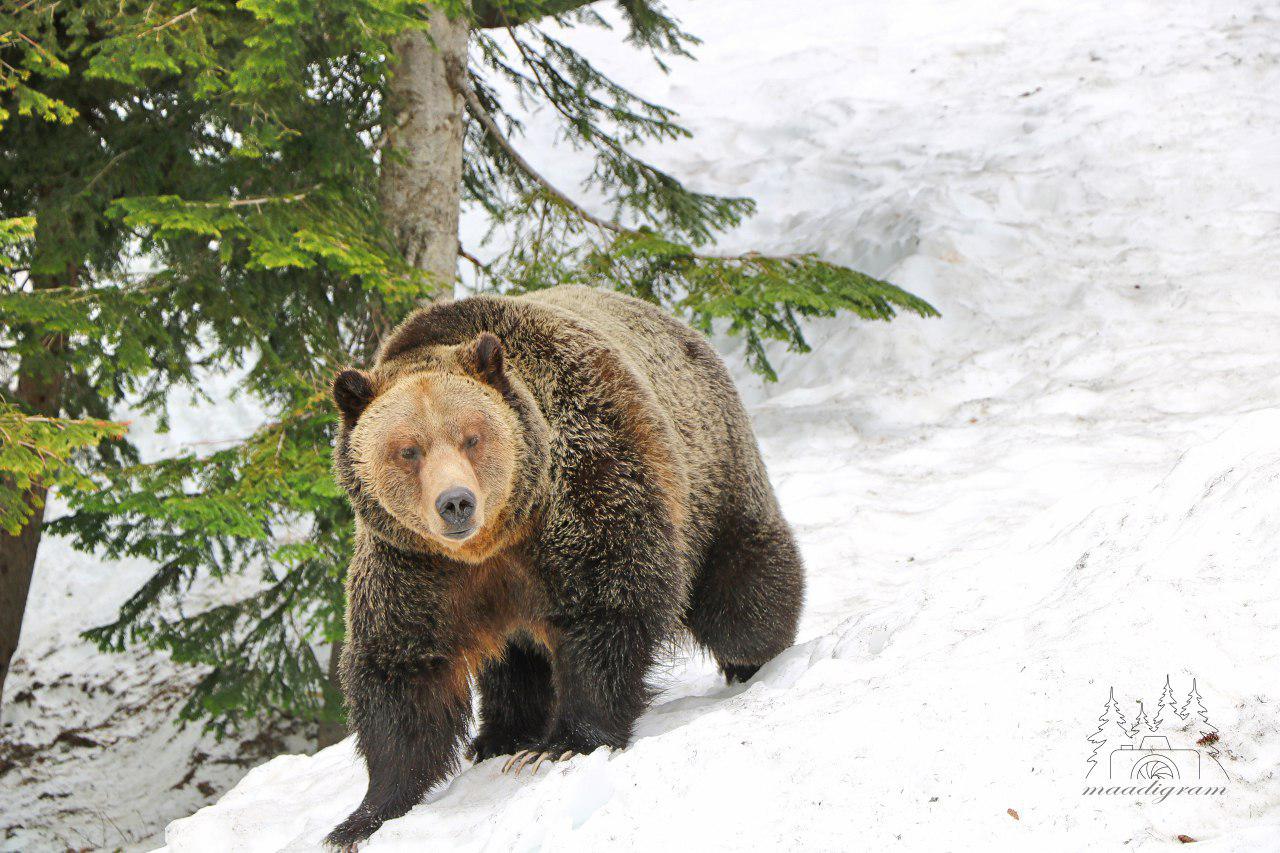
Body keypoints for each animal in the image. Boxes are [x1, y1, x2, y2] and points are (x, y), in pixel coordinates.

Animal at [325, 284, 798, 845]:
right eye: (408, 450)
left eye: (471, 437)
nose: (456, 503)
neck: (496, 541)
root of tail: (678, 324)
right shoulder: (415, 567)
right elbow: (401, 675)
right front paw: (363, 817)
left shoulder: (588, 483)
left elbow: (609, 605)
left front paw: (563, 744)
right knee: (514, 659)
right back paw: (500, 734)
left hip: (709, 469)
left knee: (740, 594)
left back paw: (754, 658)